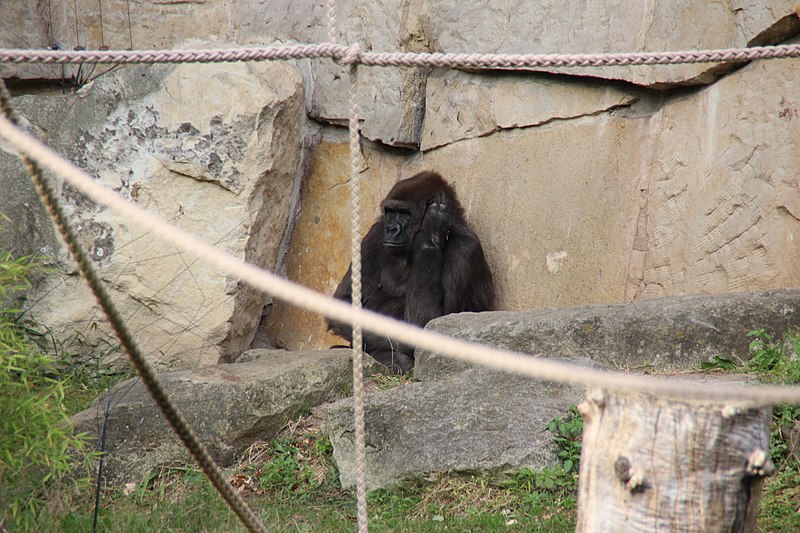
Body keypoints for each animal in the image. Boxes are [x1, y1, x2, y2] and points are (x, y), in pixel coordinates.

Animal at [326, 171, 494, 374]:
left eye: (405, 213)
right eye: (391, 212)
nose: (391, 229)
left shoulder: (465, 249)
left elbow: (432, 326)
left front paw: (431, 232)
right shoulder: (375, 233)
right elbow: (345, 301)